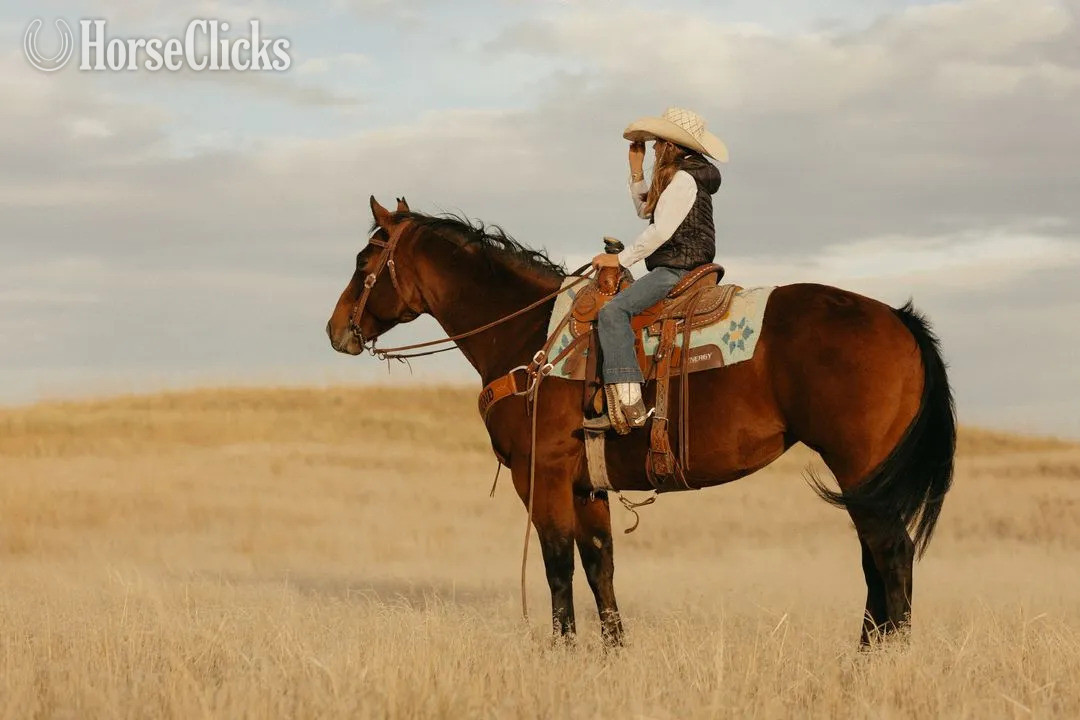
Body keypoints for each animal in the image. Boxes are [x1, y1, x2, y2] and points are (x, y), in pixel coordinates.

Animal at [327, 196, 956, 647]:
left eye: (363, 263)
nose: (336, 331)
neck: (529, 338)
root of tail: (897, 319)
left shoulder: (540, 474)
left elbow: (558, 565)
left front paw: (563, 652)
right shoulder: (586, 484)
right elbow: (598, 564)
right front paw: (611, 652)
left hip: (862, 473)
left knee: (891, 557)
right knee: (877, 562)